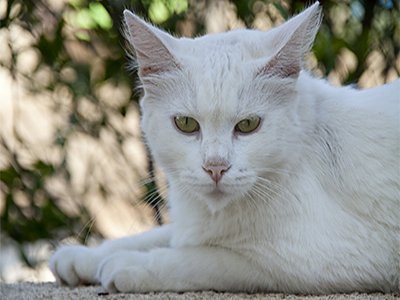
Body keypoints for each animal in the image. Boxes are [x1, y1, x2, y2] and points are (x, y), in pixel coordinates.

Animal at [50, 2, 400, 292]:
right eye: (186, 124)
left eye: (248, 125)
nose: (215, 167)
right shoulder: (191, 222)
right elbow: (162, 234)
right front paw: (83, 257)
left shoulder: (328, 257)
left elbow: (206, 258)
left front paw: (130, 265)